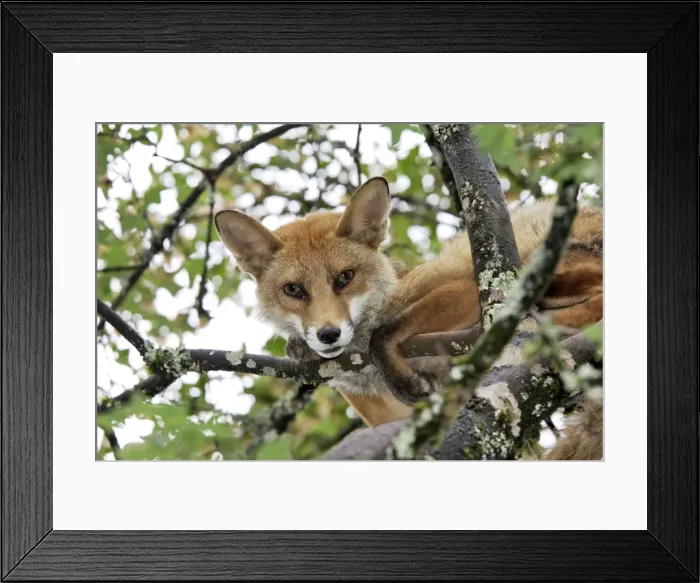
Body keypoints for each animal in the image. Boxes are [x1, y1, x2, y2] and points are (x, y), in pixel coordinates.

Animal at [215, 176, 603, 459]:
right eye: (293, 290)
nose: (328, 334)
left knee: (595, 298)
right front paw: (302, 347)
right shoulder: (392, 419)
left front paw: (401, 374)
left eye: (345, 277)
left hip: (536, 258)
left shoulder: (463, 285)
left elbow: (386, 332)